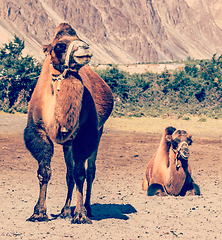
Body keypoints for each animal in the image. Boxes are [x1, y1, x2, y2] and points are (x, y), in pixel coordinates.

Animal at [24, 23, 113, 224]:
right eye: (59, 46)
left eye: (81, 38)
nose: (85, 48)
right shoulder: (38, 130)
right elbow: (45, 171)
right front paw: (39, 213)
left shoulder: (85, 134)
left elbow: (81, 173)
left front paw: (80, 215)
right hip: (68, 144)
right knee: (69, 172)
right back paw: (65, 210)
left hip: (98, 133)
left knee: (90, 171)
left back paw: (87, 208)